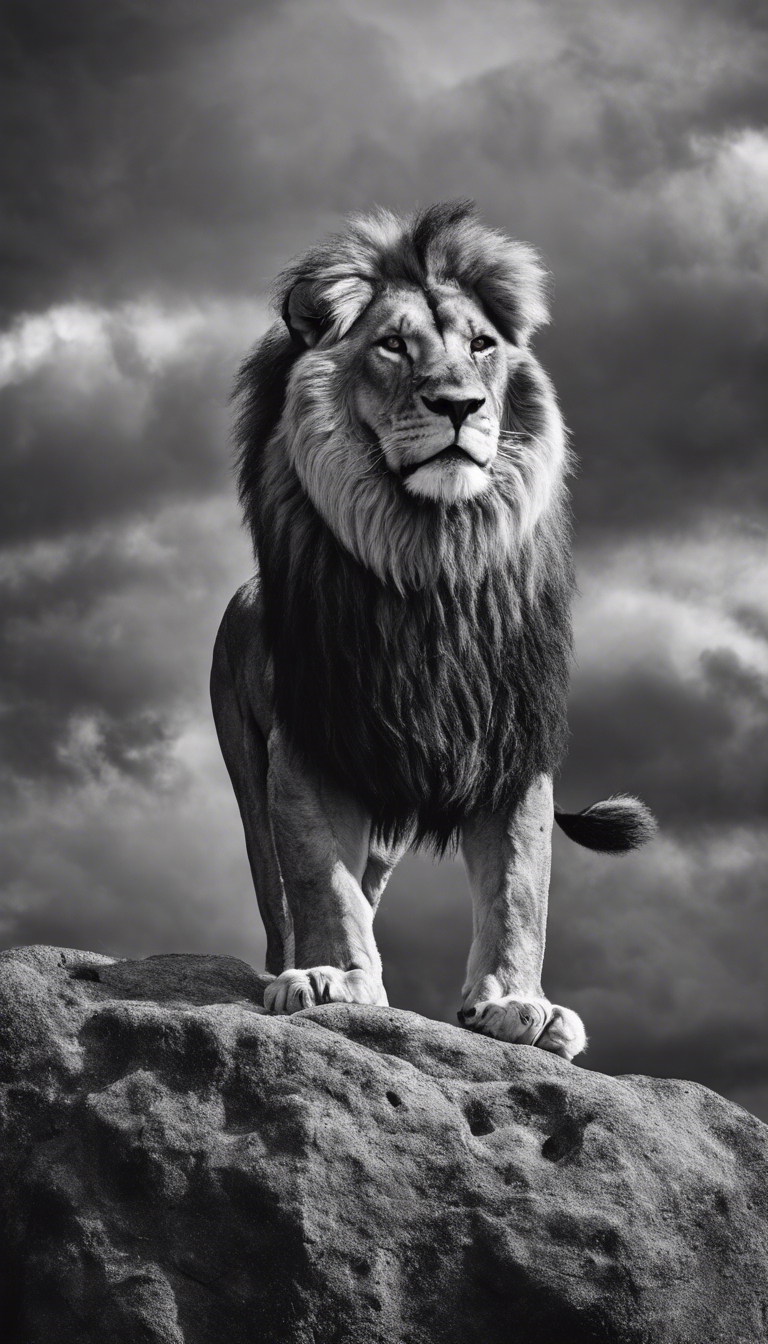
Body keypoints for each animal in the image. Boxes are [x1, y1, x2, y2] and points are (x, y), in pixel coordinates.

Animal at [211, 201, 655, 1061]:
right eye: (393, 345)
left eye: (481, 346)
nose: (460, 406)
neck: (431, 559)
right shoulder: (312, 740)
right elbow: (319, 879)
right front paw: (333, 978)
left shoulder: (511, 741)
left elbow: (520, 889)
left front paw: (518, 1004)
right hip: (249, 769)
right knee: (278, 893)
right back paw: (291, 968)